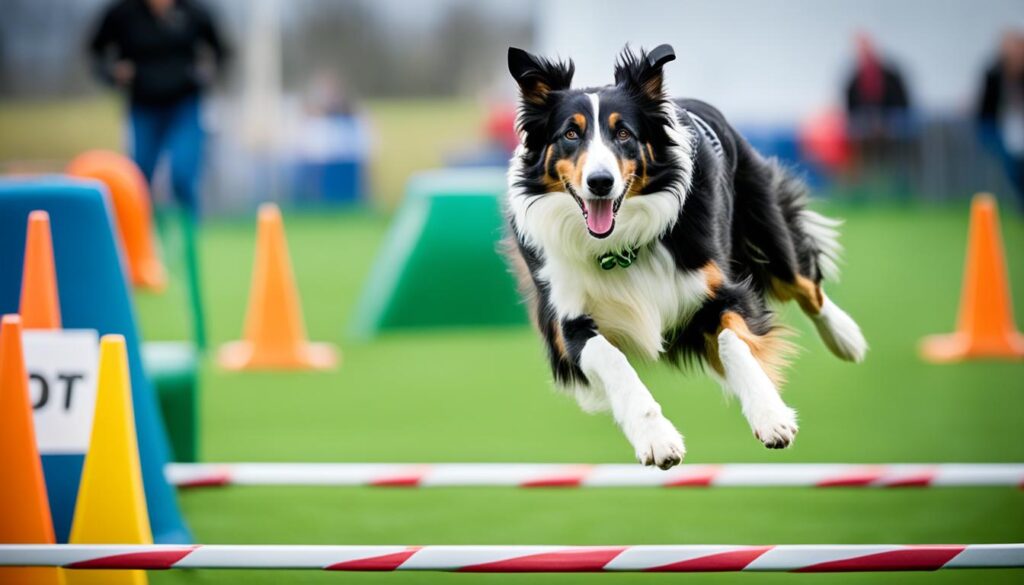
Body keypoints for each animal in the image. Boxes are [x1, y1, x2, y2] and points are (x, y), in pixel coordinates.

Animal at [503, 43, 864, 469]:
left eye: (623, 133)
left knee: (805, 283)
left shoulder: (719, 290)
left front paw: (770, 415)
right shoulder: (568, 324)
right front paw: (656, 438)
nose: (600, 182)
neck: (618, 247)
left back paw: (848, 339)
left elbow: (734, 342)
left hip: (766, 229)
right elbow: (614, 361)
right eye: (570, 134)